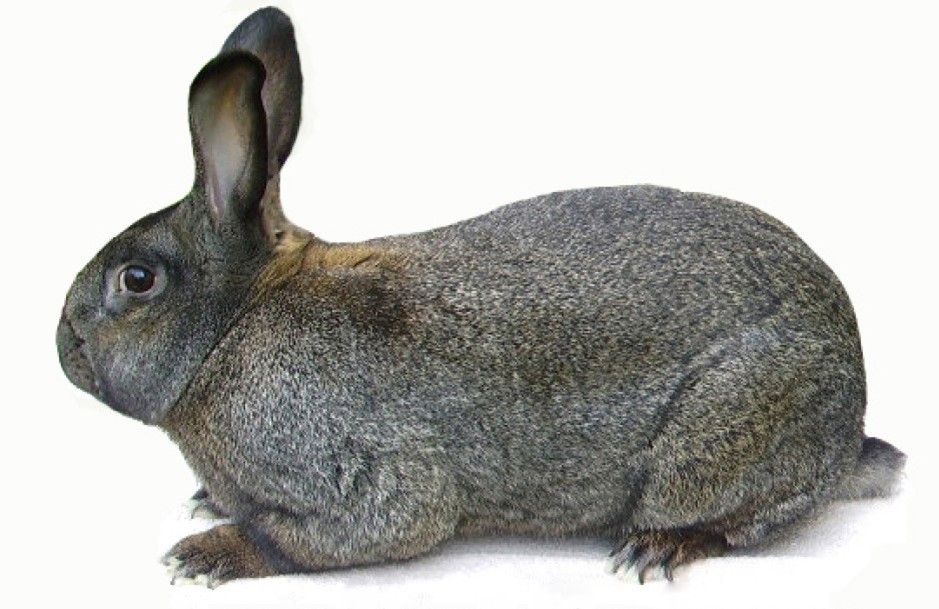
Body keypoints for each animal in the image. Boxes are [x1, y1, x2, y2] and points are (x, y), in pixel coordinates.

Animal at [56, 7, 905, 587]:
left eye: (137, 279)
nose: (65, 346)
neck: (233, 324)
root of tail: (850, 416)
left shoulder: (369, 475)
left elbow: (342, 530)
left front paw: (205, 552)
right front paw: (206, 503)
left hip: (720, 439)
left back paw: (656, 545)